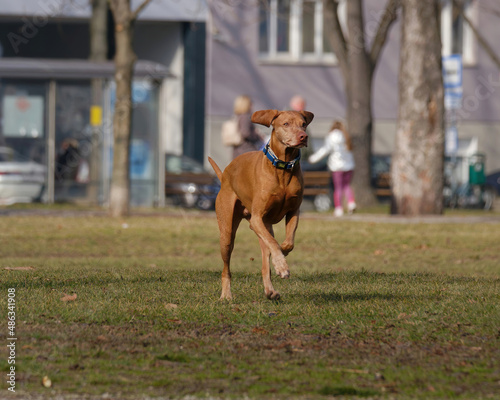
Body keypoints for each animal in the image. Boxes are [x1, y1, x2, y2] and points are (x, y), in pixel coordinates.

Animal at [207, 109, 312, 300]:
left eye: (303, 124)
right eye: (286, 124)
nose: (303, 136)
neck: (283, 168)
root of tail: (225, 174)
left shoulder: (293, 212)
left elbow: (287, 243)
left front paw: (282, 256)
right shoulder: (257, 219)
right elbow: (274, 244)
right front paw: (282, 265)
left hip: (263, 227)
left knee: (266, 256)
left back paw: (270, 290)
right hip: (227, 234)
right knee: (226, 268)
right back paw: (226, 295)